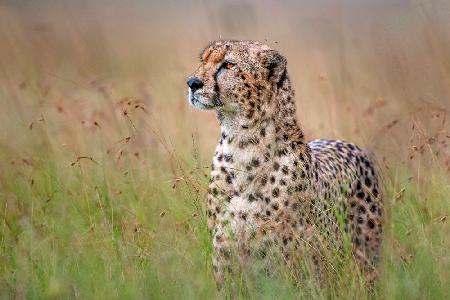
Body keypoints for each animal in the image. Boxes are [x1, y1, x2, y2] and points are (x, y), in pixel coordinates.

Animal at [185, 39, 382, 288]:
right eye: (204, 61)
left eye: (228, 65)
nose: (192, 83)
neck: (242, 144)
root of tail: (349, 144)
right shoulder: (225, 254)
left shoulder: (284, 260)